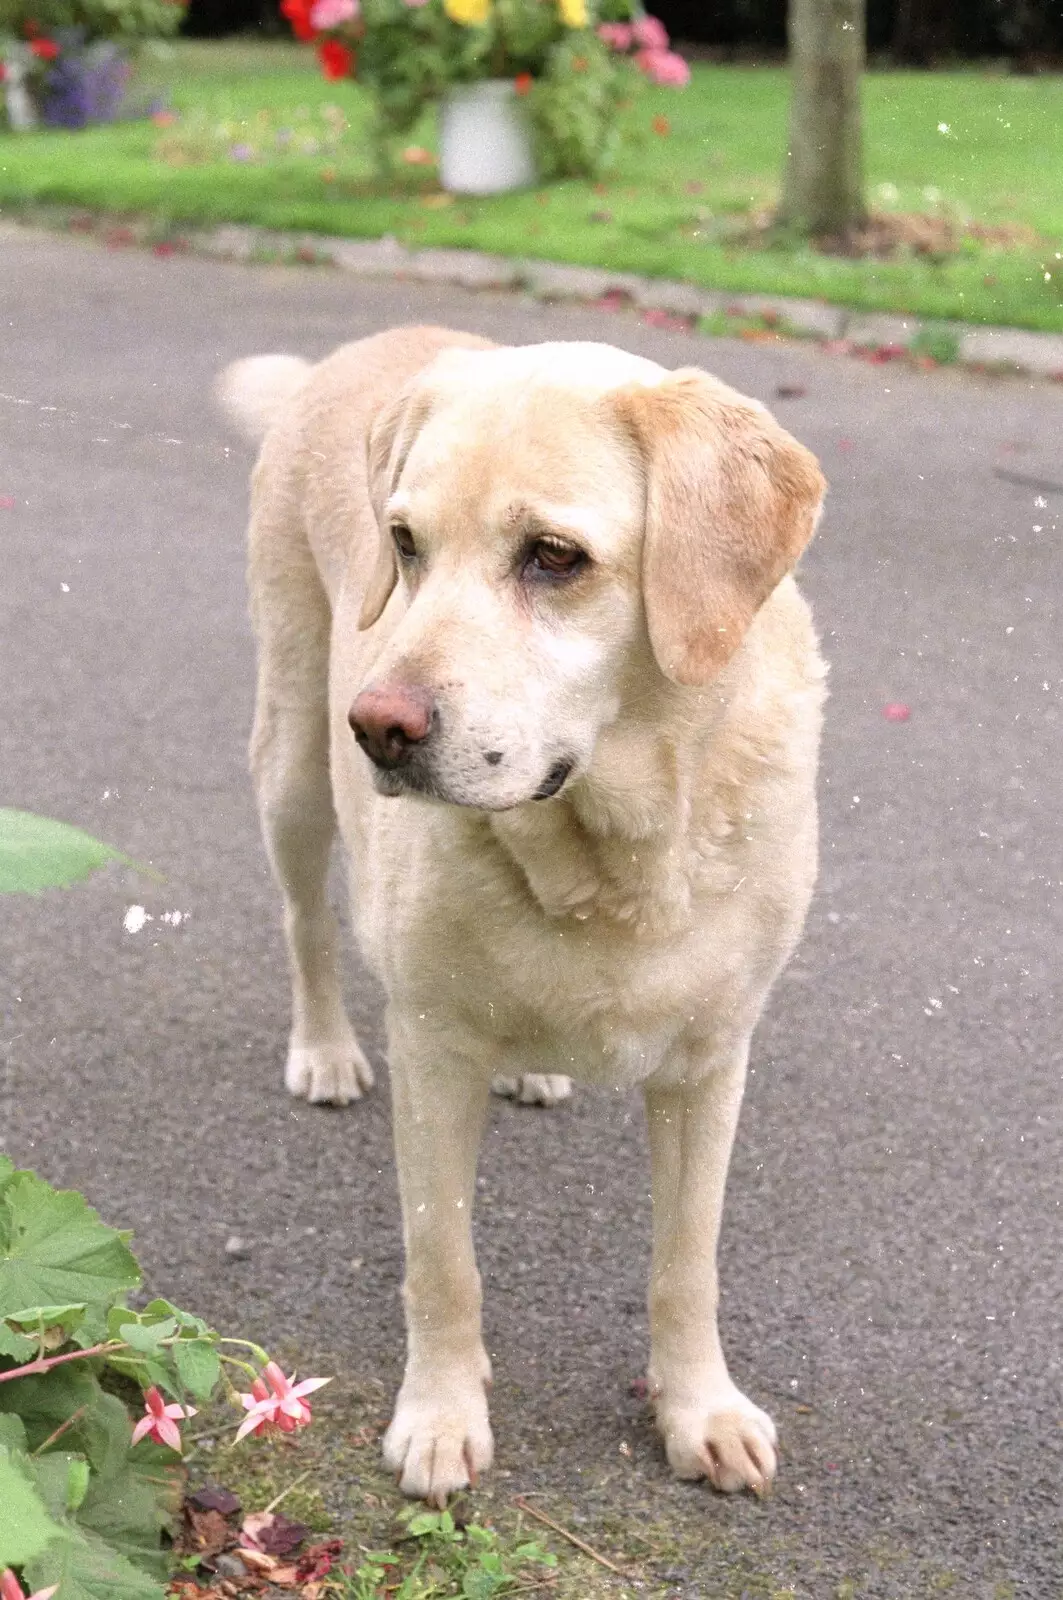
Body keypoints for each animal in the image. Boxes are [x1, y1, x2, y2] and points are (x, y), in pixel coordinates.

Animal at [216, 328, 826, 1510]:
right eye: (404, 544)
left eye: (552, 555)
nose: (377, 727)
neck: (612, 855)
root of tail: (354, 350)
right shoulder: (432, 1049)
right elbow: (442, 1263)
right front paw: (442, 1418)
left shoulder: (711, 1062)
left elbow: (686, 1265)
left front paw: (699, 1410)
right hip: (292, 768)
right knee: (305, 922)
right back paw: (324, 1049)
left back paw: (534, 1068)